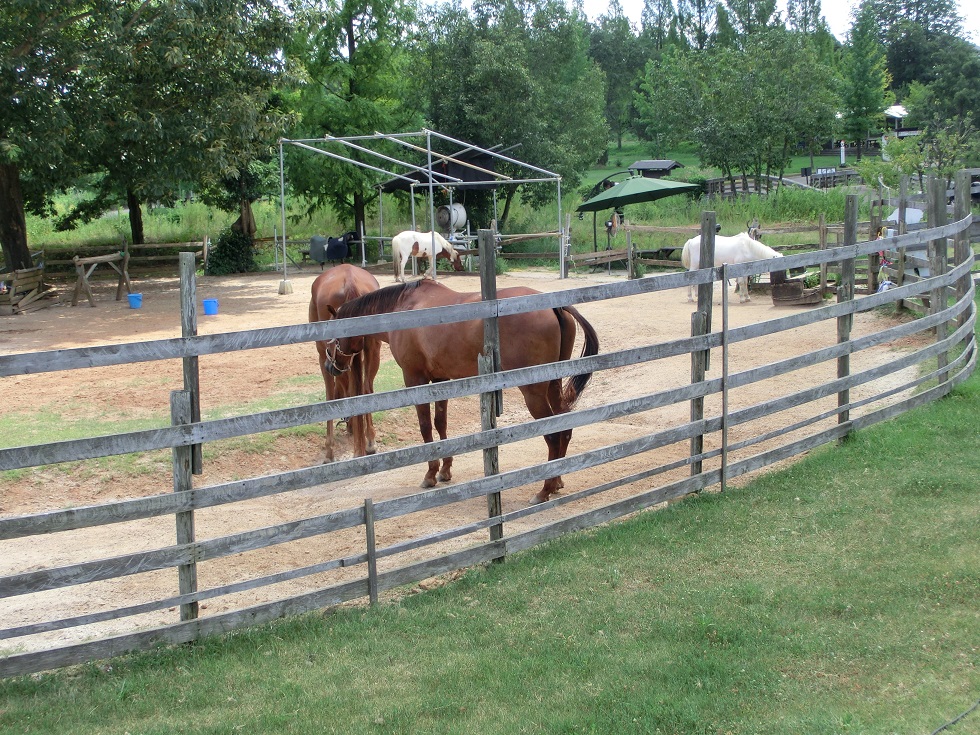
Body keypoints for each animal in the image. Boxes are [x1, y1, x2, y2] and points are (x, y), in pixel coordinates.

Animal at [308, 264, 380, 460]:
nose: (349, 428)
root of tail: (349, 281)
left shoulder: (323, 356)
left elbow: (329, 395)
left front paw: (329, 450)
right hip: (373, 349)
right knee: (367, 387)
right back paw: (370, 442)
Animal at [326, 278, 596, 504]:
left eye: (333, 338)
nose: (331, 366)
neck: (404, 308)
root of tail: (555, 307)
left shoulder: (415, 380)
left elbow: (426, 426)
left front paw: (430, 474)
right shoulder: (441, 380)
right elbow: (441, 423)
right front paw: (445, 470)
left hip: (533, 393)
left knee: (553, 434)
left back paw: (544, 489)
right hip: (552, 384)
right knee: (564, 427)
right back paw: (557, 480)